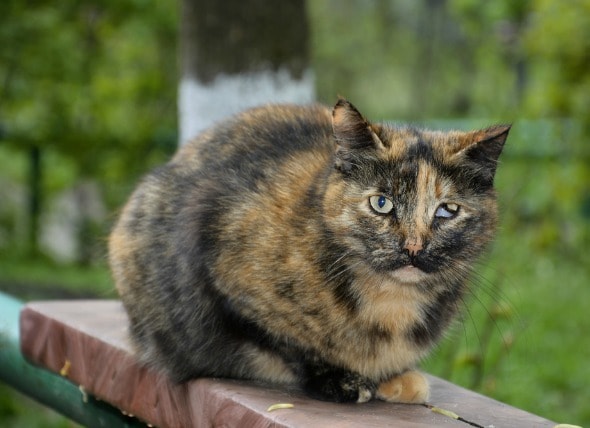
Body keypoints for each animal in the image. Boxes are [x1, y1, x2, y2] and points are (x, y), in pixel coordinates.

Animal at [108, 99, 512, 404]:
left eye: (447, 210)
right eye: (381, 203)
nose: (413, 248)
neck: (391, 301)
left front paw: (397, 378)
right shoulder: (219, 263)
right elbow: (287, 341)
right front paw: (342, 379)